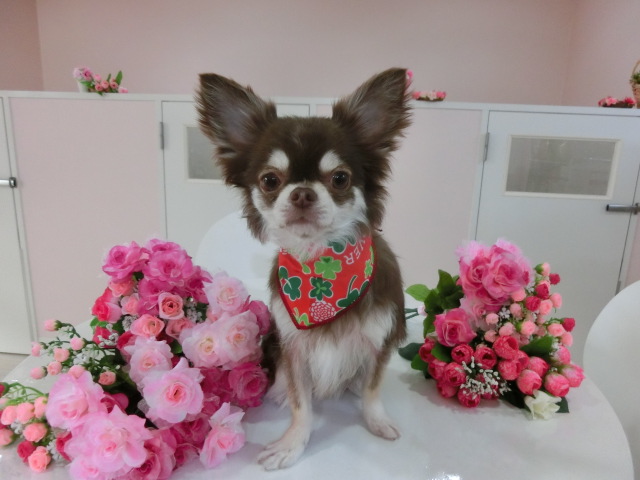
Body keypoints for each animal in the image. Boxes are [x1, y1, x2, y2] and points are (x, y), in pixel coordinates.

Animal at [196, 68, 411, 470]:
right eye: (270, 180)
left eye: (340, 178)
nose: (302, 193)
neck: (322, 269)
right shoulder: (293, 347)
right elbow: (302, 404)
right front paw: (293, 443)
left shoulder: (378, 340)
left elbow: (373, 388)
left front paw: (376, 420)